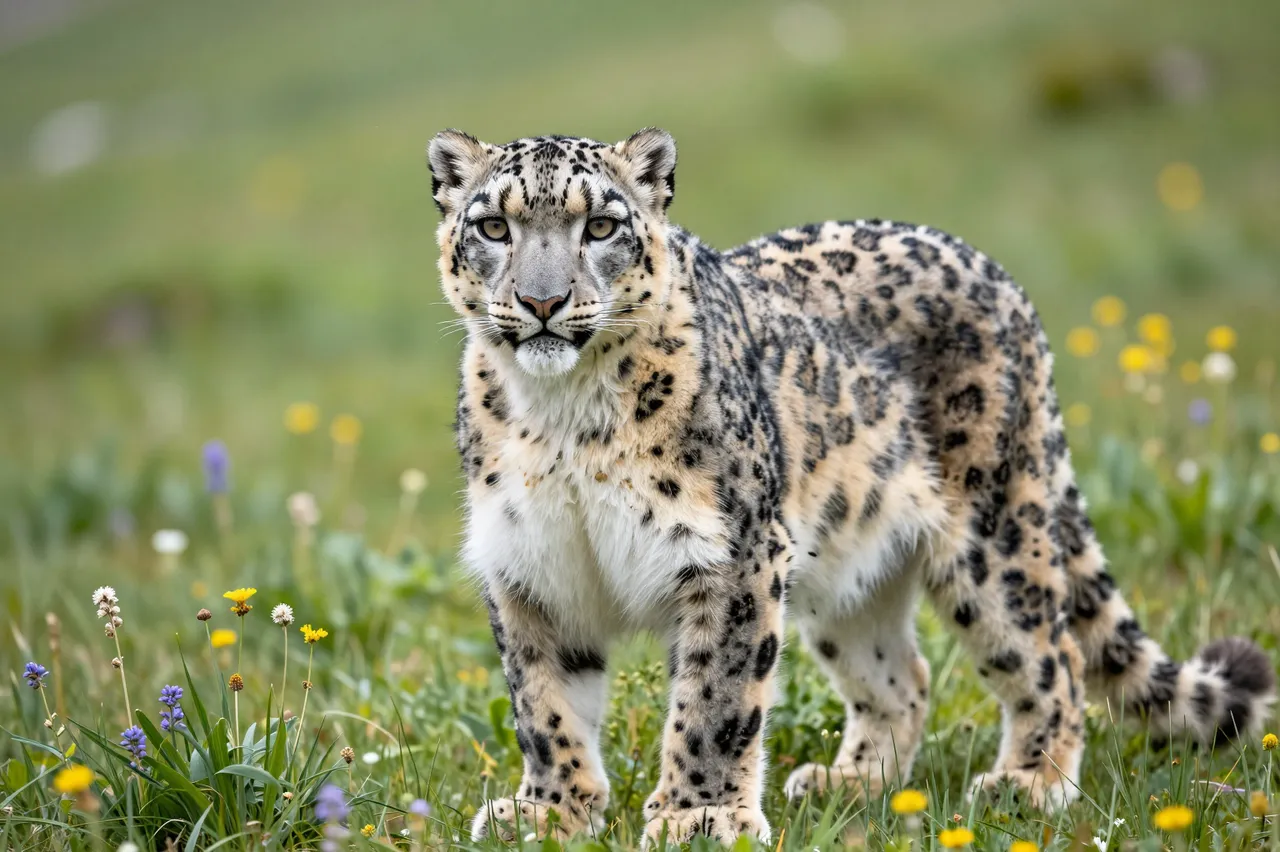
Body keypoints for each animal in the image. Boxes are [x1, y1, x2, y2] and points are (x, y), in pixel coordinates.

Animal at [427, 127, 1275, 847]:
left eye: (600, 226)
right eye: (493, 228)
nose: (541, 302)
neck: (563, 420)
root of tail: (988, 266)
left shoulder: (731, 556)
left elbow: (714, 698)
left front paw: (700, 816)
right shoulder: (531, 563)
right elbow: (545, 703)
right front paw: (550, 813)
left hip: (994, 534)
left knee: (1051, 652)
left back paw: (1027, 784)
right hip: (845, 569)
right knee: (903, 675)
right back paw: (854, 784)